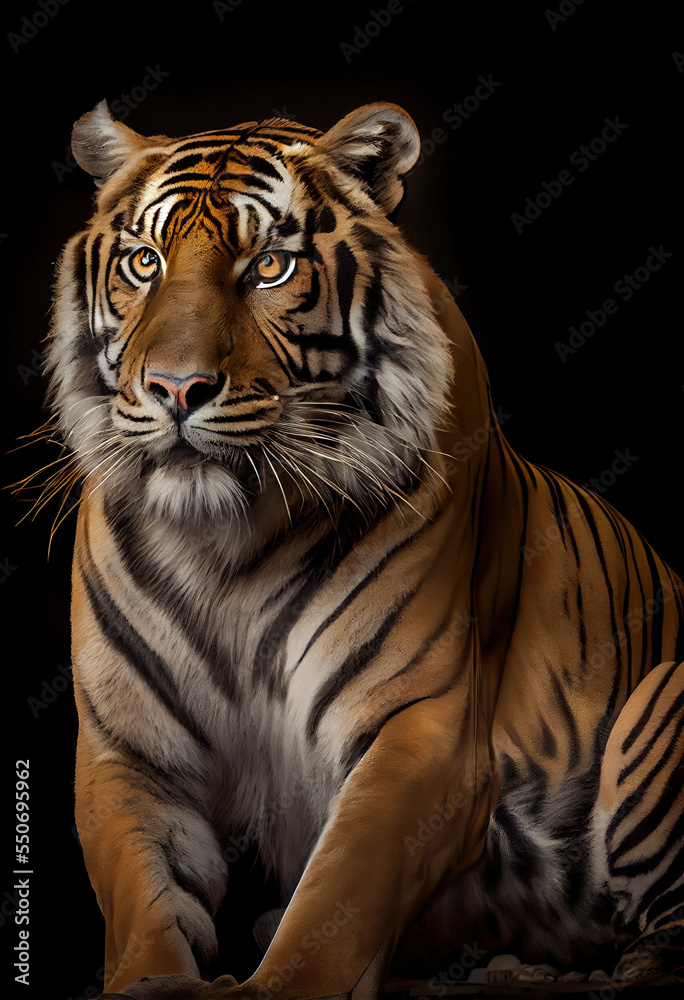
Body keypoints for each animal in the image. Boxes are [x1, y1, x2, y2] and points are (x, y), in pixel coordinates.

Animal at [37, 100, 683, 999]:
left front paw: (276, 982)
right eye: (143, 262)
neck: (225, 546)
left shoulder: (422, 728)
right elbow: (144, 909)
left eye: (270, 267)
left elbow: (337, 902)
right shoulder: (126, 753)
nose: (174, 389)